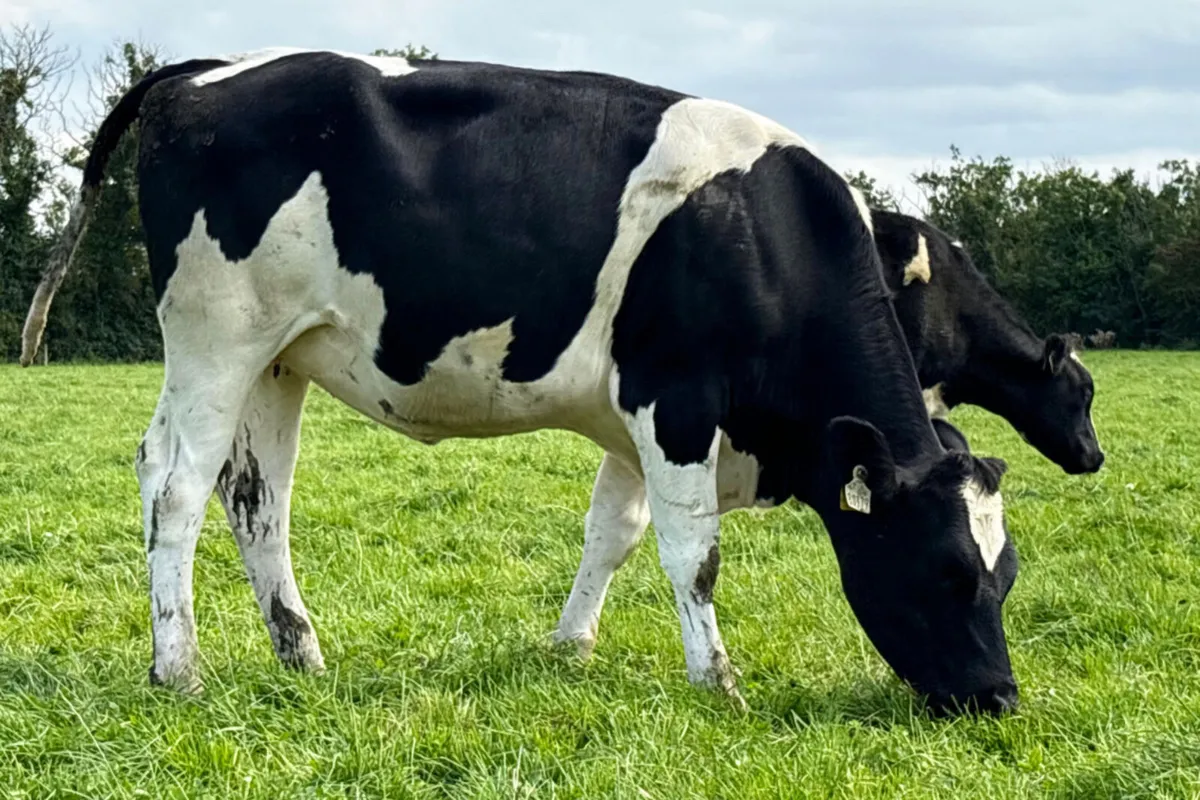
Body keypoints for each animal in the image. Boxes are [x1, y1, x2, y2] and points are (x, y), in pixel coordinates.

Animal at [21, 48, 1020, 716]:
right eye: (945, 570)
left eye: (1005, 575)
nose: (1000, 699)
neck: (767, 240)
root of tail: (209, 71)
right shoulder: (675, 399)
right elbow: (694, 556)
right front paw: (719, 681)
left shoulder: (635, 421)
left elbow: (614, 534)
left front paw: (570, 647)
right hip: (214, 337)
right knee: (175, 483)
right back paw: (178, 668)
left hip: (277, 354)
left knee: (256, 499)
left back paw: (300, 654)